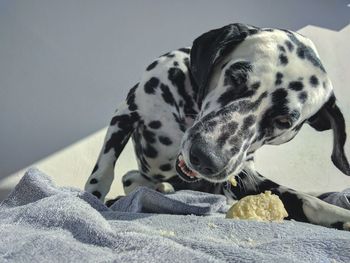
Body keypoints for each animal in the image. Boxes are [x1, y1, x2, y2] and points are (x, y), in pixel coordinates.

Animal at [85, 24, 350, 231]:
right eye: (236, 76)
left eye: (284, 121)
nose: (206, 158)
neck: (190, 107)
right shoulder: (125, 114)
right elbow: (103, 172)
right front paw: (93, 202)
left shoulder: (244, 178)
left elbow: (307, 200)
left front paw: (340, 216)